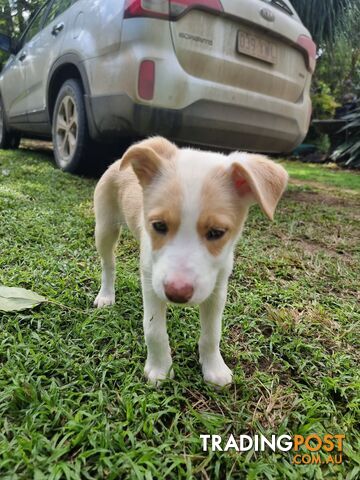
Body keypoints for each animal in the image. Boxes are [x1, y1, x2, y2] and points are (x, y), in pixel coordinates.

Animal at [94, 135, 288, 386]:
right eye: (159, 225)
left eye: (216, 233)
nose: (177, 293)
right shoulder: (151, 281)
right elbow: (154, 330)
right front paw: (159, 369)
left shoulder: (217, 286)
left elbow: (212, 333)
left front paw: (214, 368)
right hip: (105, 227)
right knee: (108, 264)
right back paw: (106, 295)